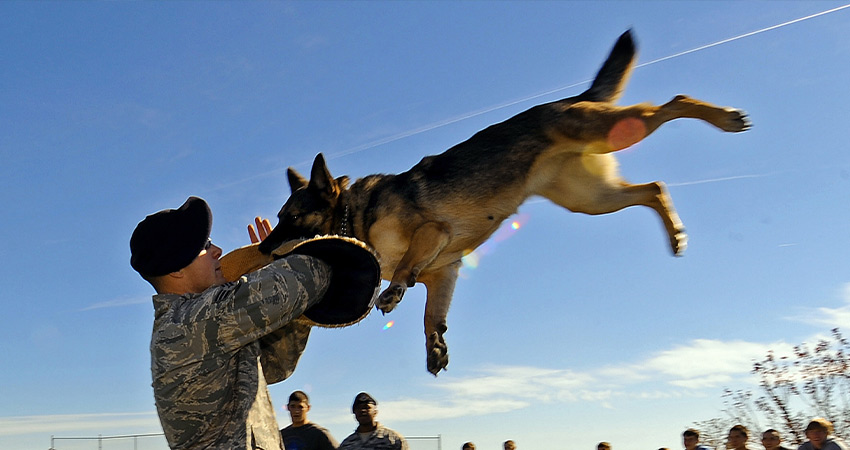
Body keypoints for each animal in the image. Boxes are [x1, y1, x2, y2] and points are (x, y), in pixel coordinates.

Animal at [258, 29, 748, 376]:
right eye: (278, 218)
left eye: (291, 217)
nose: (262, 248)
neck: (354, 215)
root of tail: (574, 98)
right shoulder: (445, 272)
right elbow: (430, 316)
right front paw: (435, 347)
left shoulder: (433, 235)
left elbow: (405, 269)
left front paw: (394, 290)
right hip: (592, 199)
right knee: (655, 188)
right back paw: (676, 234)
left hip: (608, 133)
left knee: (674, 103)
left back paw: (725, 118)